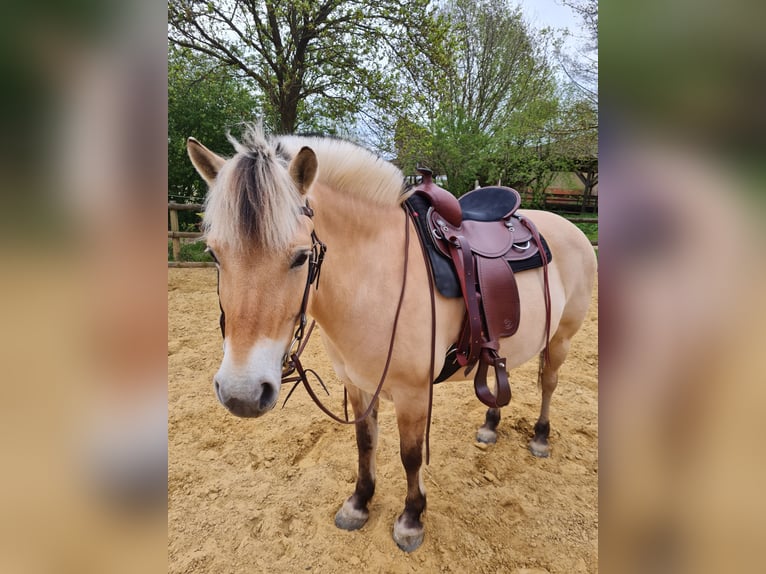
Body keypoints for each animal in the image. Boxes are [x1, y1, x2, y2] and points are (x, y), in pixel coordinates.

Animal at [188, 126, 600, 552]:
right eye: (213, 254)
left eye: (301, 257)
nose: (242, 393)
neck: (374, 276)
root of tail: (565, 225)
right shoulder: (357, 384)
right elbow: (365, 442)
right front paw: (359, 503)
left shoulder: (413, 393)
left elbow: (410, 456)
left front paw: (411, 519)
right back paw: (490, 425)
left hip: (561, 340)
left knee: (548, 383)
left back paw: (540, 437)